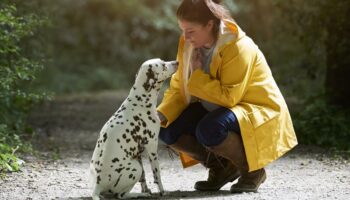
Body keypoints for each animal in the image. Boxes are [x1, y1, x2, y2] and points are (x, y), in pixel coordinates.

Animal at [90, 58, 178, 199]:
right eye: (163, 65)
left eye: (163, 61)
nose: (177, 62)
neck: (140, 101)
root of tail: (98, 185)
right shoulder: (152, 149)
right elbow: (157, 175)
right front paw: (162, 191)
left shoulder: (138, 153)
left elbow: (143, 178)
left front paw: (146, 189)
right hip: (136, 168)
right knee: (120, 195)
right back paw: (139, 195)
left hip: (136, 165)